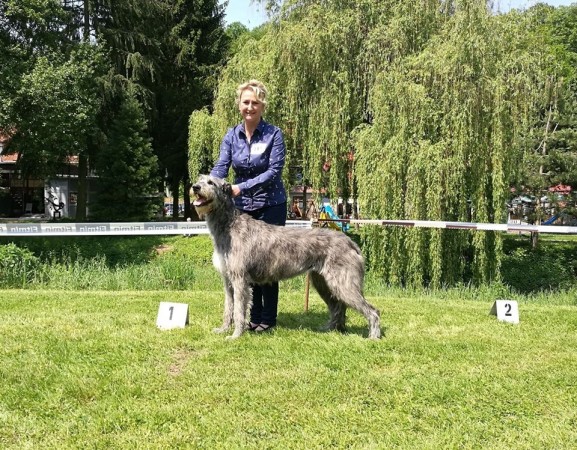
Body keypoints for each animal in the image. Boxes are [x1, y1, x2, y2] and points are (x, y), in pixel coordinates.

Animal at [191, 174, 380, 340]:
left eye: (211, 182)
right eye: (200, 179)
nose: (195, 187)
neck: (229, 225)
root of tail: (350, 242)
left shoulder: (240, 279)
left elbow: (238, 310)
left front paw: (235, 335)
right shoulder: (228, 279)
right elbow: (228, 307)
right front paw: (223, 329)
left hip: (343, 283)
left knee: (372, 310)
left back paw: (373, 337)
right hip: (323, 283)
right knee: (338, 307)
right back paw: (331, 329)